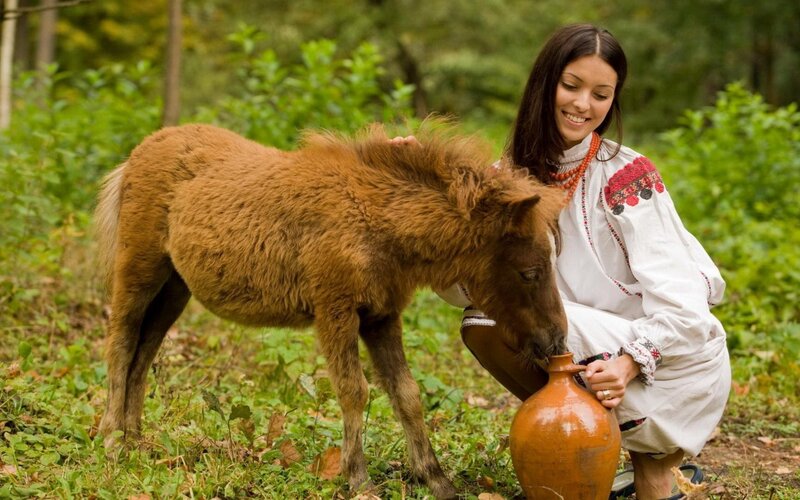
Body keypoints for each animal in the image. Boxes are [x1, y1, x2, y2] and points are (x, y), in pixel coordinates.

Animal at [93, 119, 567, 498]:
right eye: (530, 271)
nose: (556, 339)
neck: (376, 222)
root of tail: (139, 152)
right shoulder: (334, 311)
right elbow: (355, 390)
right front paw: (358, 478)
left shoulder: (381, 317)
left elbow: (407, 394)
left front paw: (436, 480)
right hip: (139, 271)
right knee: (120, 344)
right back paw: (112, 442)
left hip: (175, 288)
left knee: (144, 352)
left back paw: (136, 440)